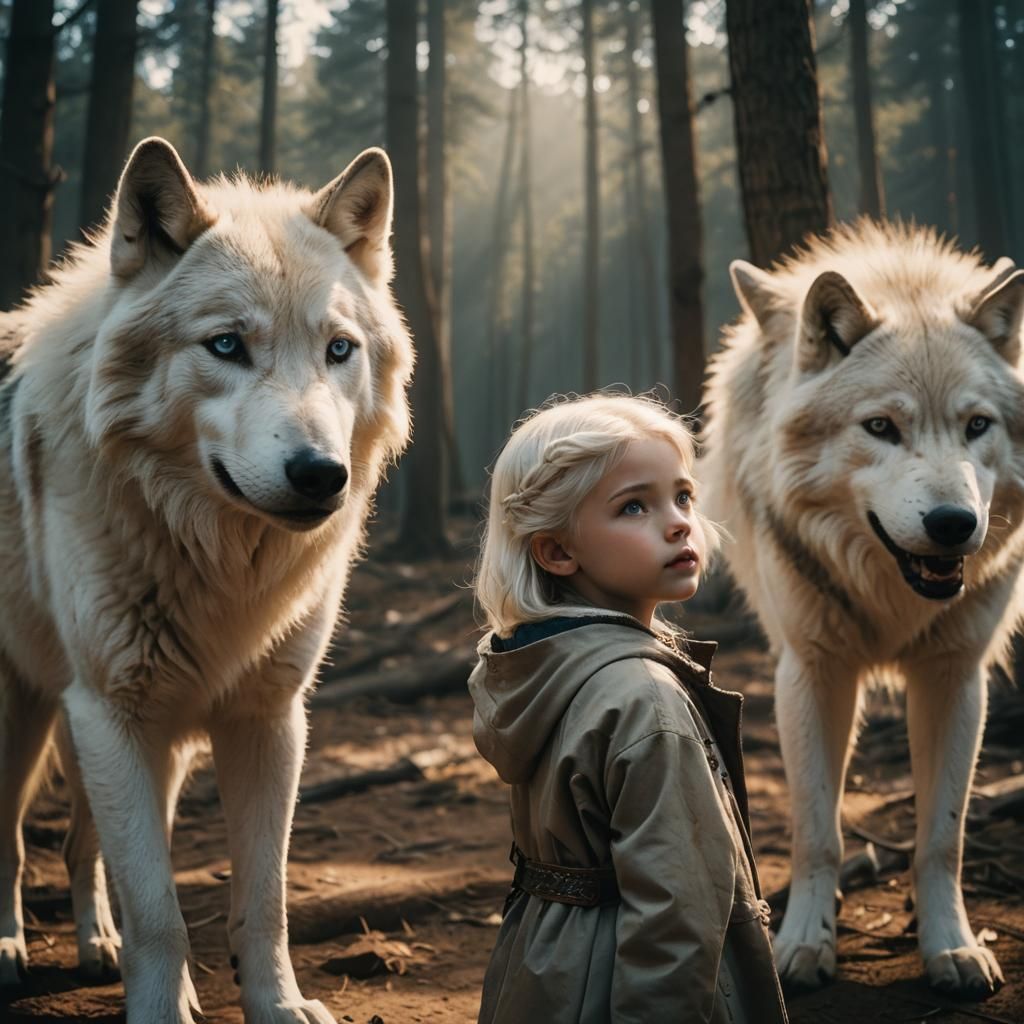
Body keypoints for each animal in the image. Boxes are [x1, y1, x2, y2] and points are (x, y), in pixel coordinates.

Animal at [0, 137, 413, 1023]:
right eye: (226, 345)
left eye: (339, 349)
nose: (321, 474)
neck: (217, 563)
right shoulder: (112, 710)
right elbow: (160, 910)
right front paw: (160, 1007)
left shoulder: (266, 718)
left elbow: (261, 900)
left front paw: (278, 1006)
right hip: (30, 716)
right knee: (11, 839)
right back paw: (11, 947)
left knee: (82, 845)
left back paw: (97, 945)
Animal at [701, 221, 1024, 998]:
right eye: (880, 426)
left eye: (977, 425)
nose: (953, 524)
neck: (893, 593)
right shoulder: (811, 670)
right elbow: (818, 831)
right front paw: (802, 945)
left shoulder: (955, 674)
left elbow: (942, 836)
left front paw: (952, 947)